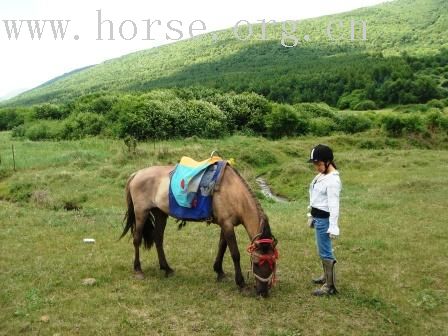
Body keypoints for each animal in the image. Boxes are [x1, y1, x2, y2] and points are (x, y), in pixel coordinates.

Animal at [121, 163, 278, 296]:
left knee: (158, 238)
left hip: (160, 214)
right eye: (256, 263)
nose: (263, 292)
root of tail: (136, 174)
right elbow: (235, 254)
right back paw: (138, 270)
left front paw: (219, 272)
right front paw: (241, 283)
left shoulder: (225, 224)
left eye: (273, 263)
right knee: (136, 240)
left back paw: (167, 269)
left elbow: (222, 247)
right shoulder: (227, 224)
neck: (233, 191)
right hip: (141, 213)